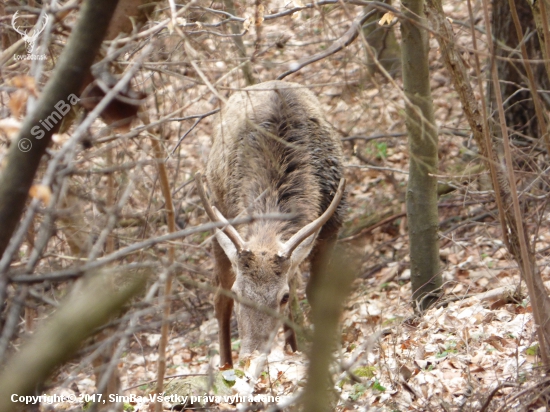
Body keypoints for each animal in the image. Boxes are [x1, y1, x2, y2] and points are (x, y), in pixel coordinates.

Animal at [196, 79, 348, 366]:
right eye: (240, 292)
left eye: (283, 296)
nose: (251, 355)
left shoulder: (333, 225)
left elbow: (314, 294)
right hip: (218, 222)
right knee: (219, 299)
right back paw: (224, 364)